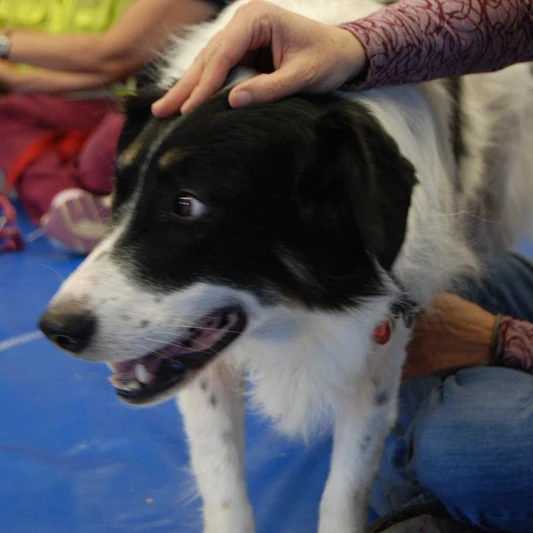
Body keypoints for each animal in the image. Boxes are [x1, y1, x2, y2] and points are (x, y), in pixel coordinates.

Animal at [37, 0, 532, 528]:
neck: (295, 315)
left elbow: (344, 487)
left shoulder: (381, 335)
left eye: (187, 205)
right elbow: (224, 489)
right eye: (120, 188)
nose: (55, 329)